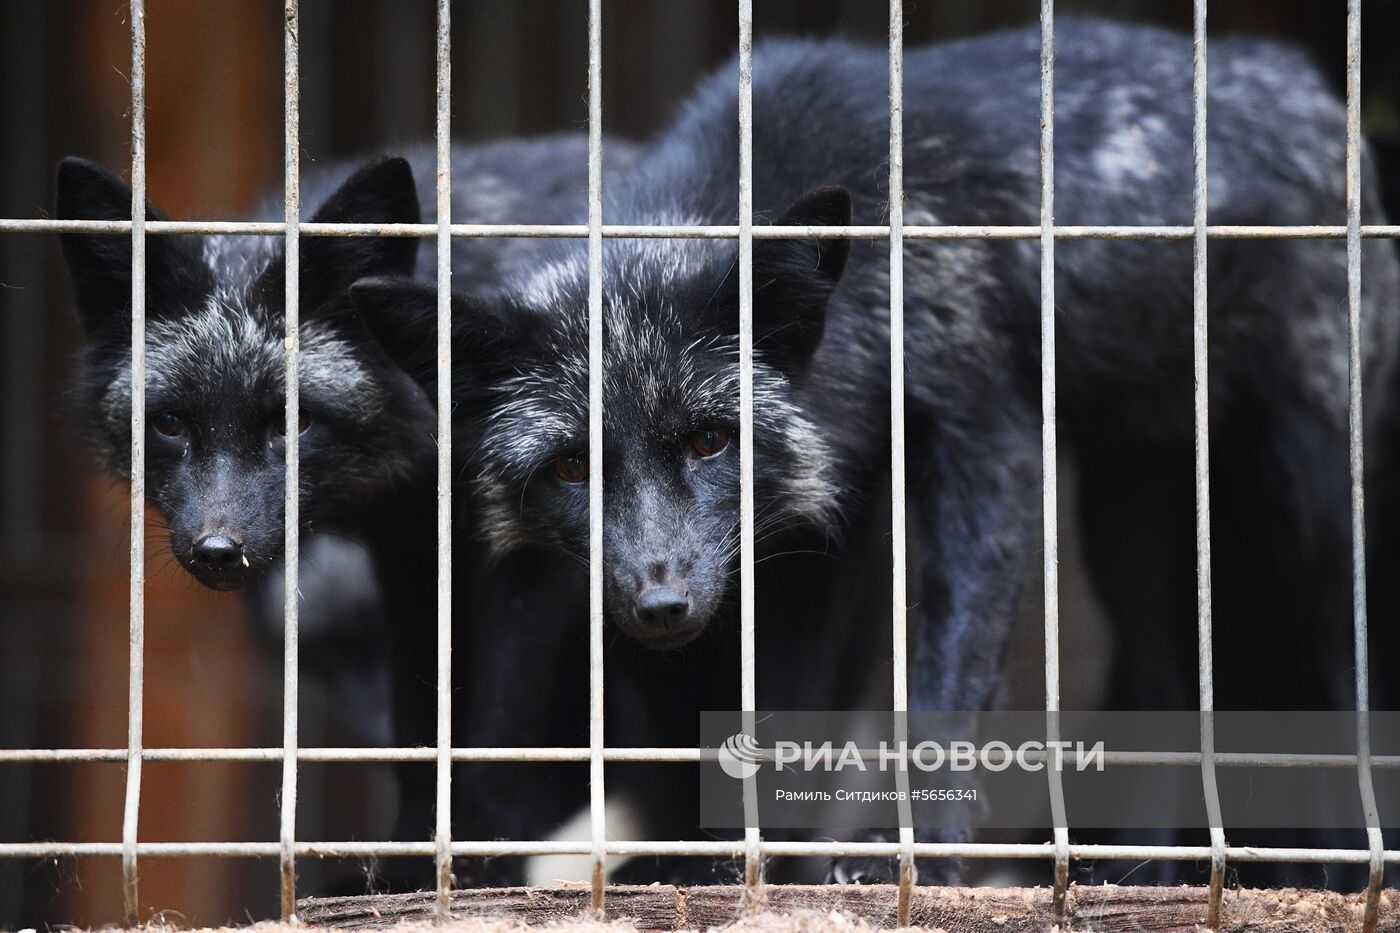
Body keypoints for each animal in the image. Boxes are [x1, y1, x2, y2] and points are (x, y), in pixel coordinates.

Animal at [358, 18, 1400, 885]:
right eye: (571, 465)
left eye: (709, 439)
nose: (659, 605)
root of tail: (1308, 88)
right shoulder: (820, 518)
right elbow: (773, 711)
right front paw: (735, 861)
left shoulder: (986, 437)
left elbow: (945, 669)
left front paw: (918, 853)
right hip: (1131, 518)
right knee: (1160, 680)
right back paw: (1140, 873)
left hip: (1306, 501)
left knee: (1343, 661)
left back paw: (1347, 863)